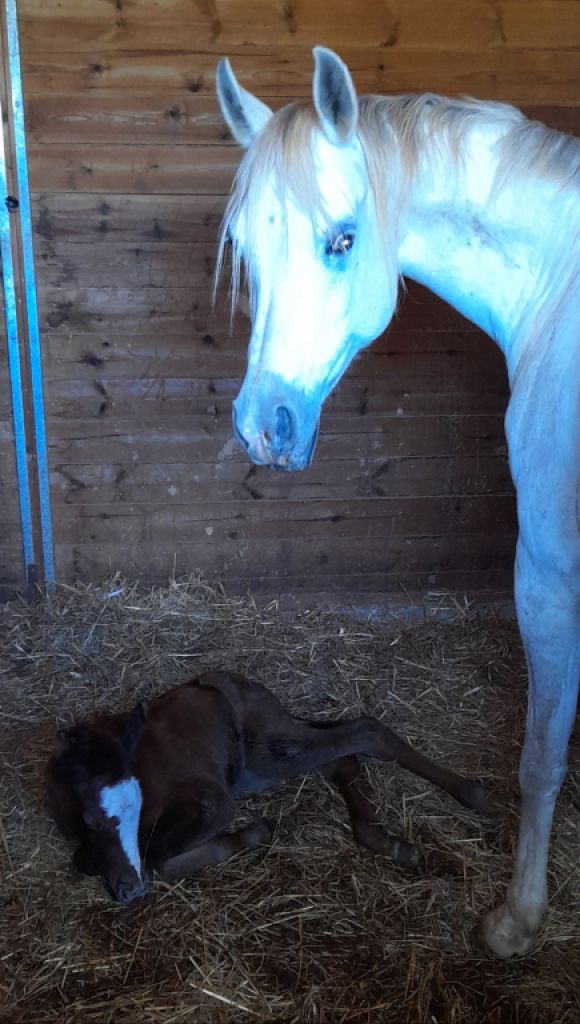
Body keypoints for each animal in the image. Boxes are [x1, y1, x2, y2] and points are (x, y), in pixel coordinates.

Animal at [46, 670, 491, 904]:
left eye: (136, 807)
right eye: (92, 819)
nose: (131, 891)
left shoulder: (214, 802)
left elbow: (157, 857)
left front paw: (254, 832)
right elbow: (90, 858)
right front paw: (257, 832)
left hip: (268, 752)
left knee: (363, 731)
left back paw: (470, 793)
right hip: (260, 767)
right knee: (341, 759)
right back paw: (386, 841)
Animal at [214, 48, 580, 958]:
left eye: (342, 240)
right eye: (243, 245)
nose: (262, 426)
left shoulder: (548, 576)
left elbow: (541, 756)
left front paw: (517, 918)